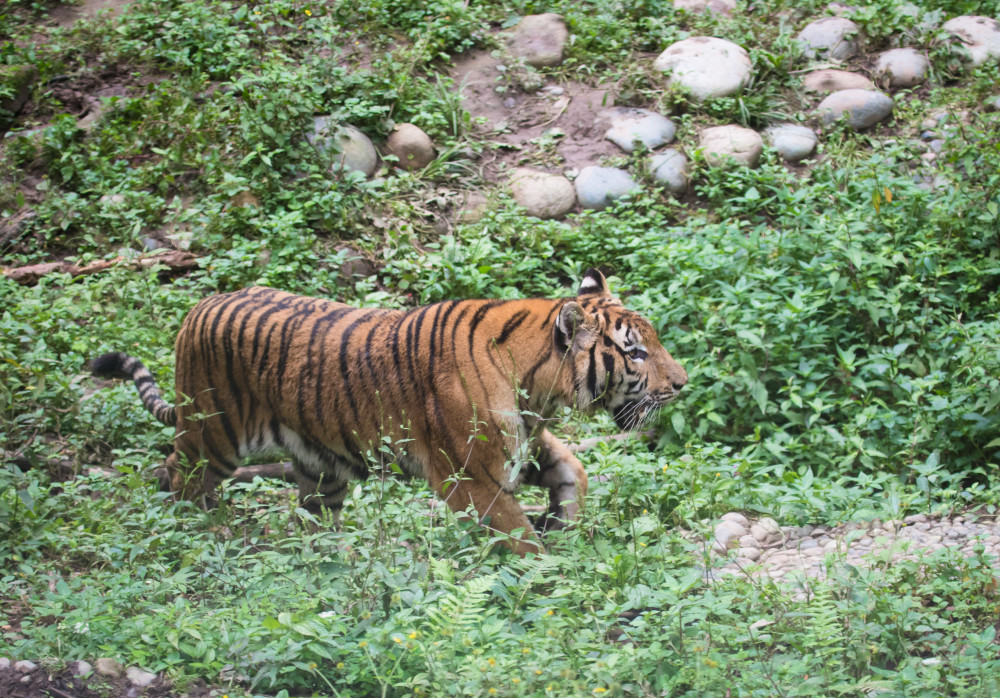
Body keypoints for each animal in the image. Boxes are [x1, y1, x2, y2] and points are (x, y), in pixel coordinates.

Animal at [90, 268, 688, 556]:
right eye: (636, 352)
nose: (682, 384)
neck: (538, 389)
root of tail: (199, 306)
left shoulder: (523, 444)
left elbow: (575, 471)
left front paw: (561, 520)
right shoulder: (470, 476)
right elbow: (517, 535)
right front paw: (547, 572)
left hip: (319, 466)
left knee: (311, 516)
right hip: (213, 434)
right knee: (177, 472)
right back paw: (202, 529)